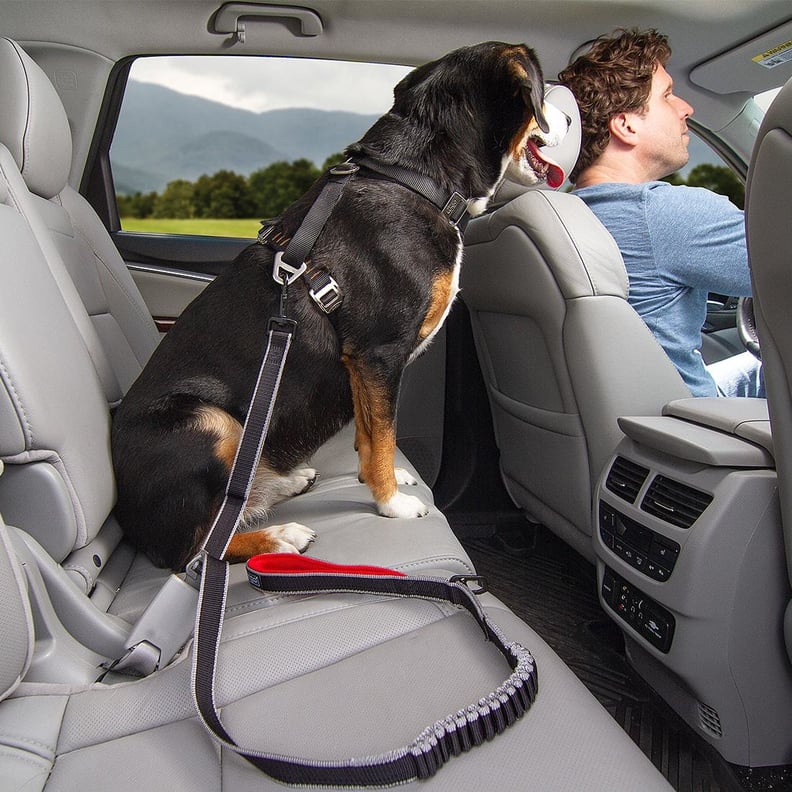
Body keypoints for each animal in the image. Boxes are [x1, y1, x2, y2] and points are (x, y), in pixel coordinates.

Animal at [113, 41, 568, 568]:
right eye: (542, 90)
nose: (570, 116)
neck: (413, 179)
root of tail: (125, 516)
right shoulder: (378, 354)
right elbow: (384, 434)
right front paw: (392, 503)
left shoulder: (361, 367)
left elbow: (371, 435)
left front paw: (380, 480)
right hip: (210, 422)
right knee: (196, 548)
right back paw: (278, 536)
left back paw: (280, 483)